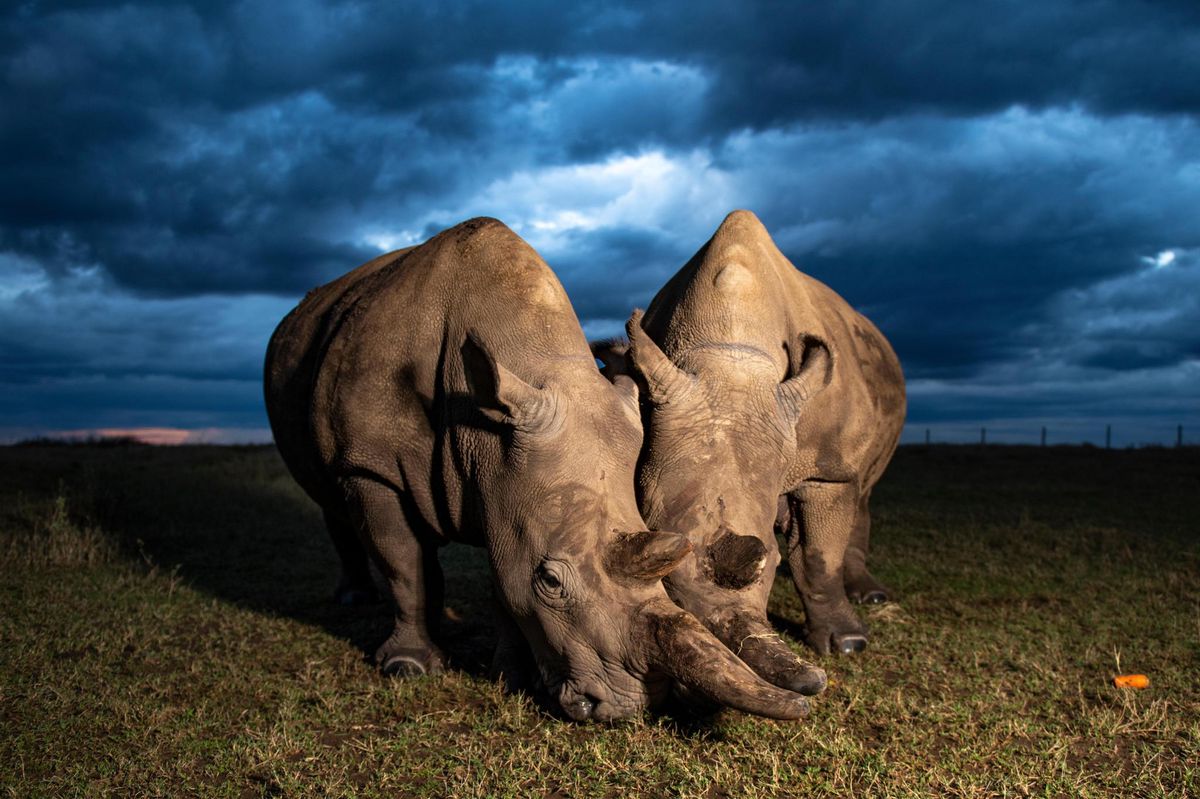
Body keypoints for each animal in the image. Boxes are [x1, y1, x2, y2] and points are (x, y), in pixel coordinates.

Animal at [263, 217, 814, 721]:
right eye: (550, 580)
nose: (620, 710)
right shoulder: (372, 466)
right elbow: (404, 565)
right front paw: (408, 667)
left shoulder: (502, 478)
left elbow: (503, 578)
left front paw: (510, 673)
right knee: (333, 500)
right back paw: (356, 600)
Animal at [595, 210, 905, 675]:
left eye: (771, 564)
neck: (731, 351)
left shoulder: (824, 468)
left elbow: (818, 555)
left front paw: (847, 644)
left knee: (863, 488)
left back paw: (870, 597)